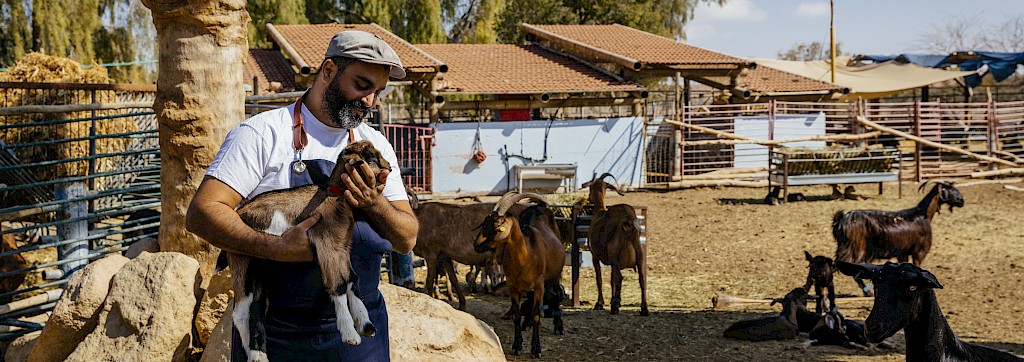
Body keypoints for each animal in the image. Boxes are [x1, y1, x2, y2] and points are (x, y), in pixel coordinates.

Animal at [229, 140, 387, 359]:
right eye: (371, 159)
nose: (389, 167)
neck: (333, 197)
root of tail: (239, 212)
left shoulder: (342, 248)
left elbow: (352, 280)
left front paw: (366, 325)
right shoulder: (327, 246)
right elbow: (338, 285)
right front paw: (349, 333)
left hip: (263, 267)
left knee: (257, 308)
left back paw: (259, 354)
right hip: (242, 260)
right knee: (240, 313)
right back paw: (255, 356)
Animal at [473, 192, 565, 355]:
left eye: (497, 224)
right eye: (485, 222)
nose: (476, 245)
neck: (526, 256)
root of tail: (539, 206)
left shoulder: (539, 285)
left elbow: (537, 315)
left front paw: (536, 349)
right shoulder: (512, 286)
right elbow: (516, 315)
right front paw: (517, 345)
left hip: (554, 274)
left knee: (557, 293)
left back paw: (558, 325)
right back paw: (526, 323)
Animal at [585, 173, 647, 314]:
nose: (588, 199)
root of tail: (628, 220)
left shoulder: (595, 256)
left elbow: (600, 279)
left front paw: (599, 304)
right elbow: (612, 279)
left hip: (614, 254)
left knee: (619, 277)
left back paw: (615, 308)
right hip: (639, 253)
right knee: (642, 278)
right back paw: (644, 309)